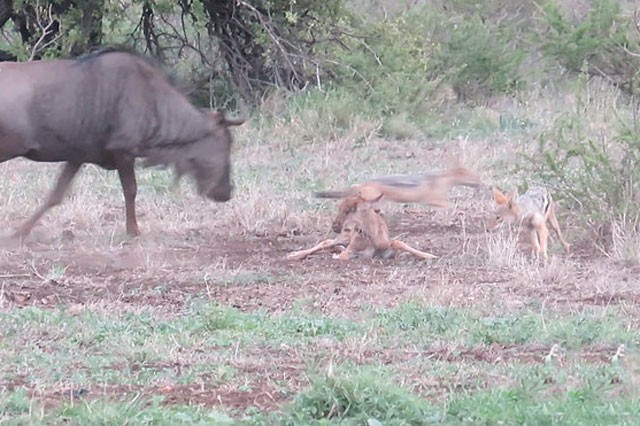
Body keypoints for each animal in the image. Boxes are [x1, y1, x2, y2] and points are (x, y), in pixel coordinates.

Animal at [0, 48, 244, 238]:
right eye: (225, 144)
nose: (225, 192)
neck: (154, 101)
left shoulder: (78, 155)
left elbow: (56, 195)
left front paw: (20, 231)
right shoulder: (124, 152)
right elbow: (131, 190)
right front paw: (133, 230)